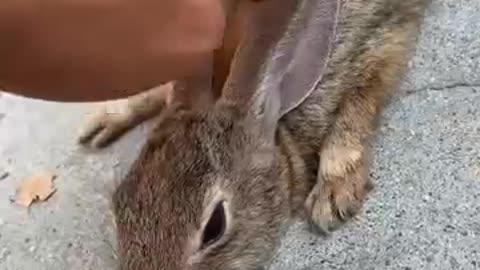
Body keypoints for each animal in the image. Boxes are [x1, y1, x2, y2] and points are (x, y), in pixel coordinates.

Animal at [78, 0, 428, 270]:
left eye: (215, 226)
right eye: (120, 206)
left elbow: (364, 96)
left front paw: (334, 191)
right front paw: (110, 116)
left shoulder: (382, 34)